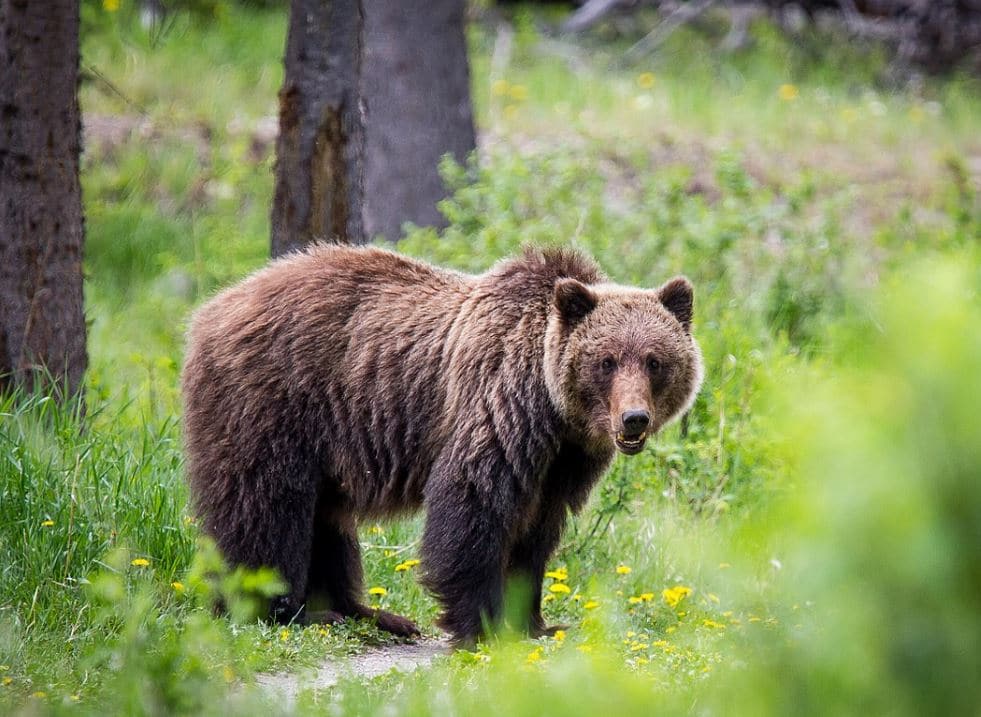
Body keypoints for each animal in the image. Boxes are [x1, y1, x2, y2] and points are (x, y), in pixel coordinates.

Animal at [182, 245, 704, 644]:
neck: (552, 410)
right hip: (273, 403)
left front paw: (537, 622)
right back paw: (281, 609)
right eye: (607, 361)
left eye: (655, 360)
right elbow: (472, 507)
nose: (633, 419)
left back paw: (371, 614)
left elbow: (536, 533)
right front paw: (483, 625)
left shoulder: (561, 462)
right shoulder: (496, 409)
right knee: (267, 506)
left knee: (327, 520)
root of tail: (212, 308)